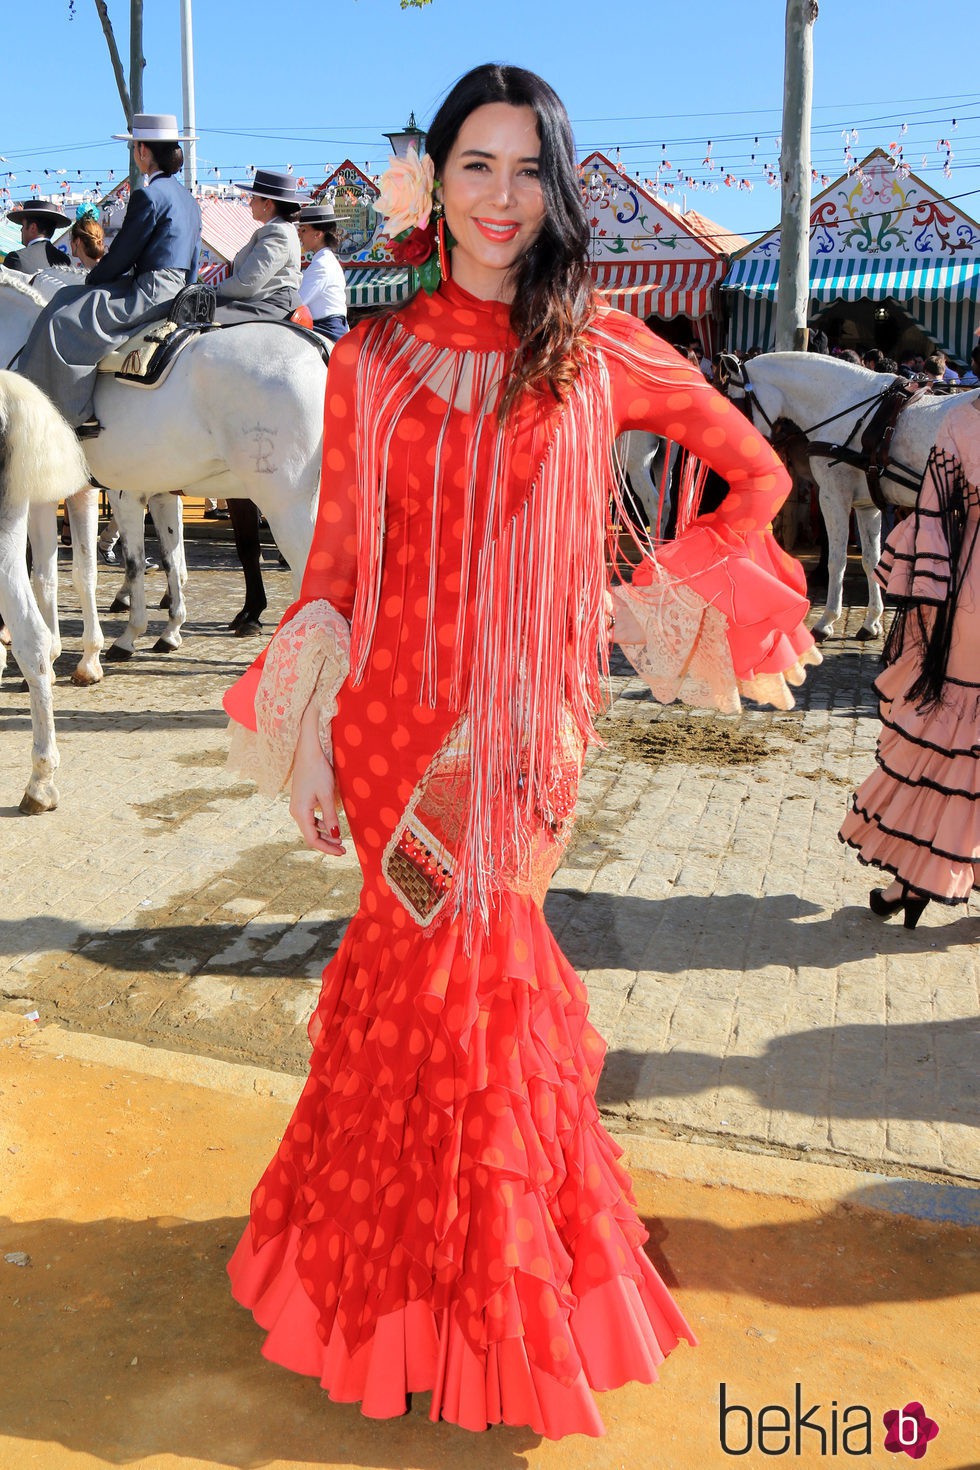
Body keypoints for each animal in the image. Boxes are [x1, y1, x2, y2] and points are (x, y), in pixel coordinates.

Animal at [0, 273, 329, 664]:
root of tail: (318, 349)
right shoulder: (145, 492)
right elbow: (164, 560)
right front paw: (165, 631)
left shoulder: (68, 494)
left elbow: (64, 571)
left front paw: (107, 641)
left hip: (286, 506)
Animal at [719, 352, 980, 640]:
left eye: (732, 401)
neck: (845, 405)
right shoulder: (868, 505)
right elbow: (871, 561)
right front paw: (872, 621)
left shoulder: (833, 498)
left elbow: (837, 560)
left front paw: (826, 621)